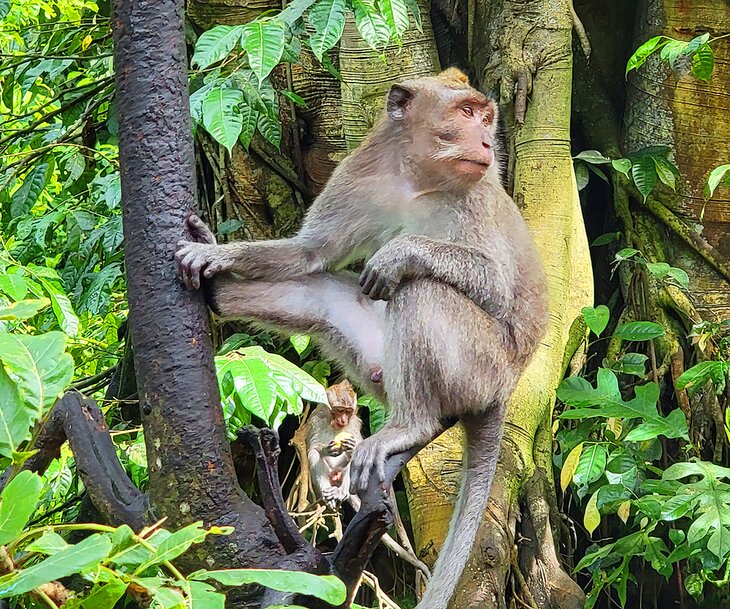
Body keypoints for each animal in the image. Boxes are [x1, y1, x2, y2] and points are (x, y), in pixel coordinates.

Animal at [178, 67, 544, 608]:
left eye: (485, 116)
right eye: (465, 112)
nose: (485, 141)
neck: (421, 181)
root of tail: (506, 390)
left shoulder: (478, 195)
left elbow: (496, 285)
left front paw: (401, 252)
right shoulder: (360, 174)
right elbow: (309, 254)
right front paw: (218, 256)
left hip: (482, 367)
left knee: (422, 289)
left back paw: (411, 424)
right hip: (379, 366)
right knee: (323, 290)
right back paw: (220, 294)